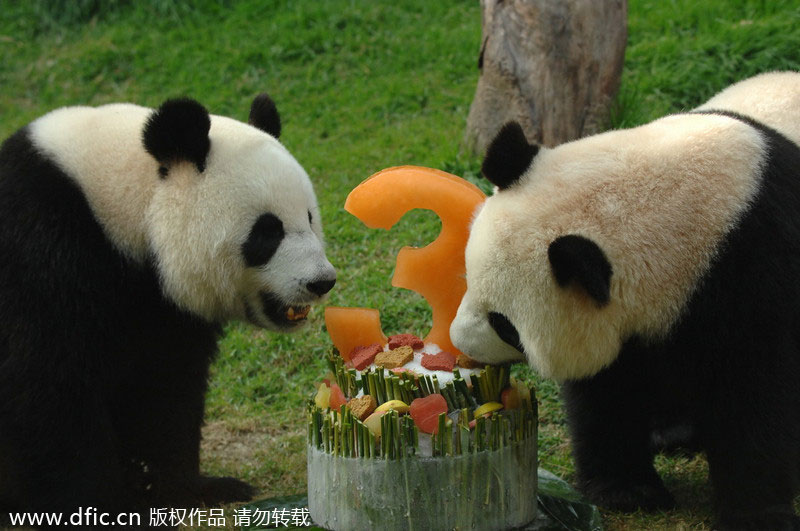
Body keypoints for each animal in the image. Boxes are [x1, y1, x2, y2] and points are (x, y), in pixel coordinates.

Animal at [0, 94, 336, 520]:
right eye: (267, 231)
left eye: (309, 217)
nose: (321, 281)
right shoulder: (41, 254)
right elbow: (47, 385)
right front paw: (100, 506)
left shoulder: (162, 309)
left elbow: (165, 387)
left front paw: (189, 489)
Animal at [454, 71, 800, 531]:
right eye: (468, 279)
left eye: (504, 323)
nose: (460, 344)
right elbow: (608, 392)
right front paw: (627, 491)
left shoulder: (758, 271)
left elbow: (756, 396)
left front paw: (756, 514)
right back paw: (672, 433)